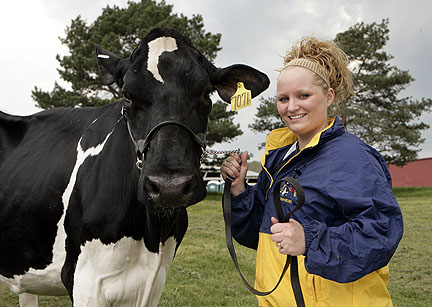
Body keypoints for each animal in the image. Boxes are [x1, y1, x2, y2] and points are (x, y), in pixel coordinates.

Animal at [0, 27, 270, 306]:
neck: (150, 234)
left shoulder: (154, 281)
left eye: (206, 93)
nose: (169, 186)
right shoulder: (85, 281)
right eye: (127, 96)